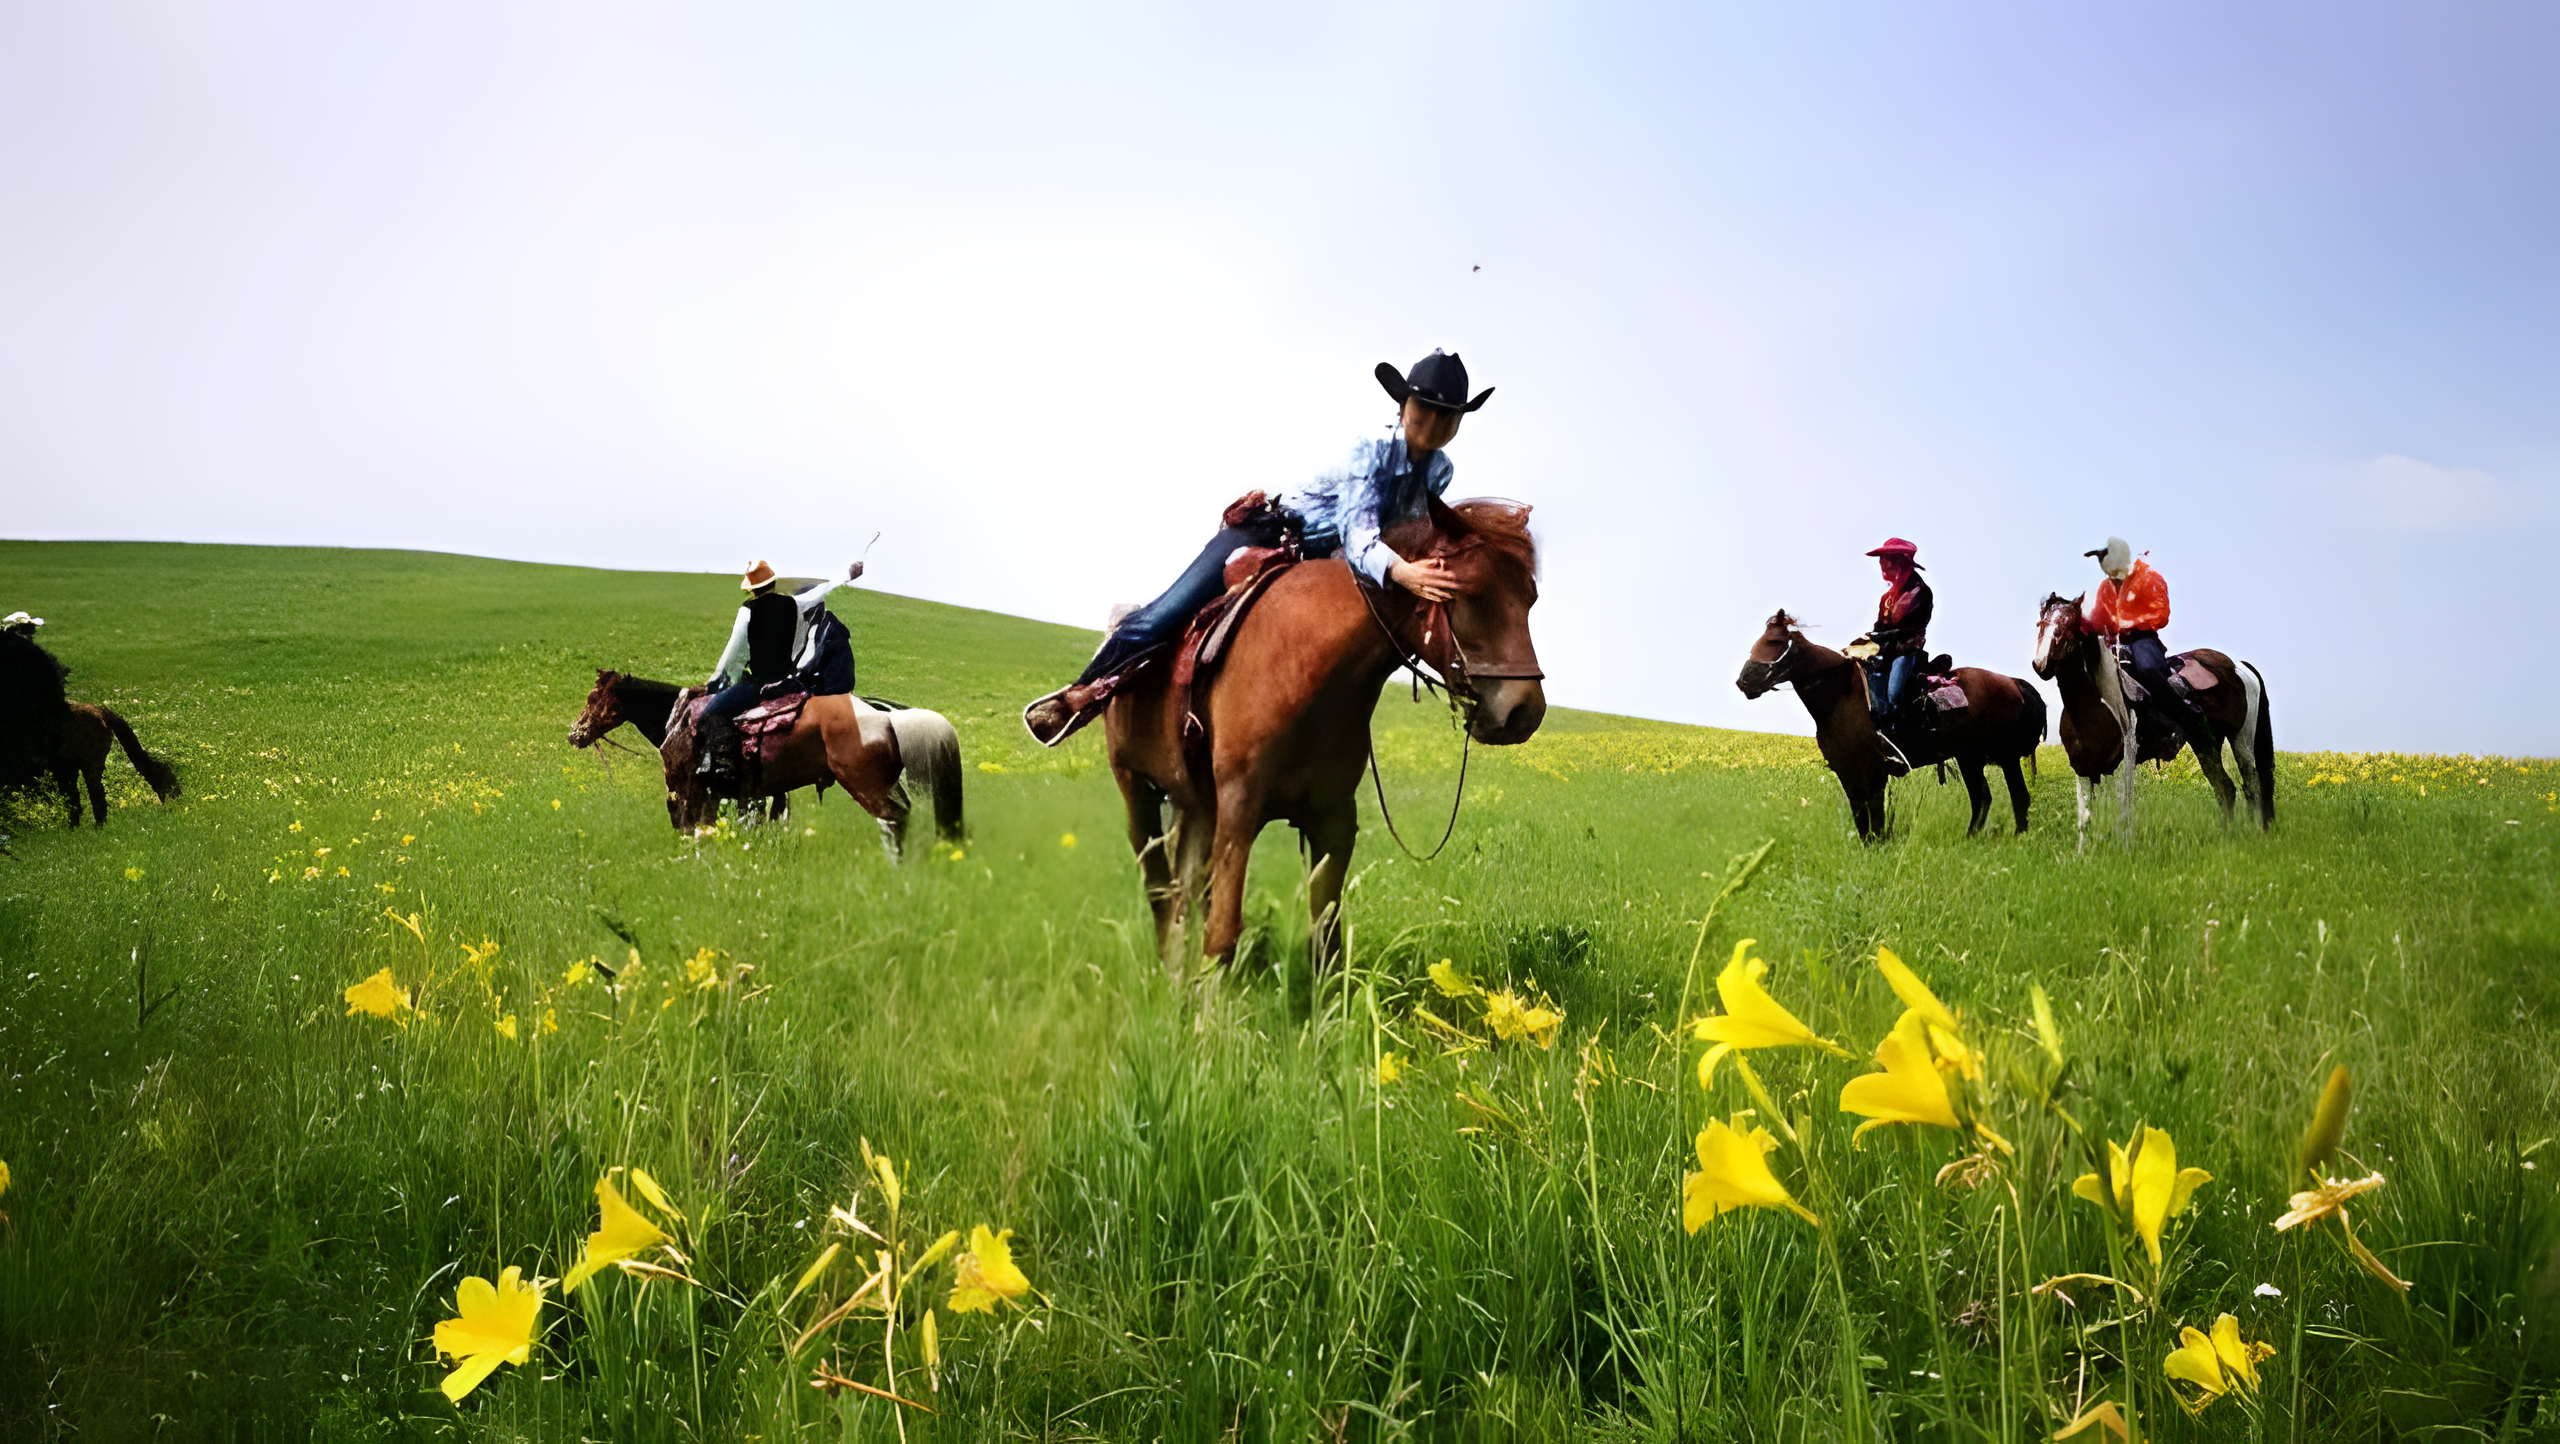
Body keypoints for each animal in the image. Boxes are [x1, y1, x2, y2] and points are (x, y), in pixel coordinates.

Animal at [565, 670, 962, 850]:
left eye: (593, 698)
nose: (574, 734)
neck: (677, 720)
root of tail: (882, 714)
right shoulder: (722, 795)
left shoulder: (684, 789)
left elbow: (687, 830)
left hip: (866, 784)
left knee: (894, 819)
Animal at [1111, 499, 1546, 983]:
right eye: (1469, 592)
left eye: (1530, 598)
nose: (1524, 713)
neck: (1305, 662)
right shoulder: (1239, 811)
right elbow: (1222, 934)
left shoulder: (1333, 819)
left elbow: (1326, 943)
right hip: (1136, 790)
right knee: (1162, 893)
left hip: (1196, 806)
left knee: (1185, 892)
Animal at [1730, 611, 2048, 839]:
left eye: (1774, 642)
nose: (1745, 681)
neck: (1840, 694)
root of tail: (2015, 683)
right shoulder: (1847, 770)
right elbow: (1860, 814)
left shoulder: (1873, 769)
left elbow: (1875, 813)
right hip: (1975, 757)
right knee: (1991, 798)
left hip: (1996, 757)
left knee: (2009, 797)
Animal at [2027, 593, 2273, 850]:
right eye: (2041, 623)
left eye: (2068, 625)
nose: (2041, 664)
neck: (2095, 704)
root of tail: (2239, 666)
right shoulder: (2082, 767)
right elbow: (2085, 817)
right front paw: (2083, 855)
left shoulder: (2123, 761)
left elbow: (2123, 810)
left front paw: (2124, 850)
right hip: (2206, 744)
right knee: (2225, 788)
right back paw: (2226, 835)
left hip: (2241, 739)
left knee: (2252, 786)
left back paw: (2252, 833)